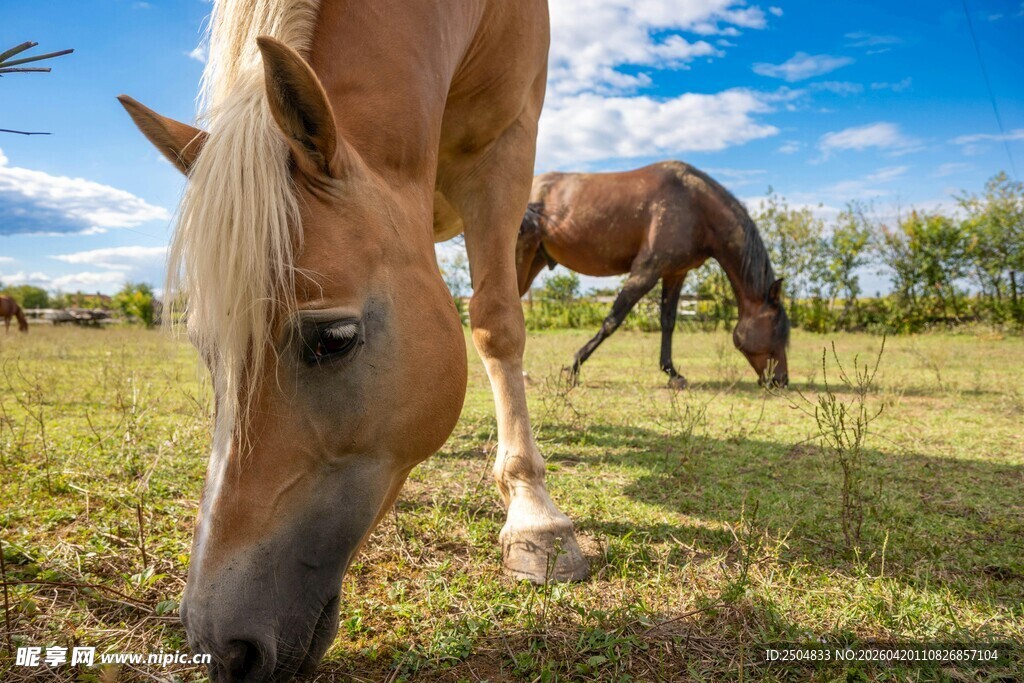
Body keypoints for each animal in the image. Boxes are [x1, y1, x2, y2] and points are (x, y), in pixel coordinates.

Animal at [119, 1, 583, 680]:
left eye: (334, 339)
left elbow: (497, 321)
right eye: (207, 352)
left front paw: (535, 519)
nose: (221, 647)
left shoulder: (505, 150)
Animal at [515, 161, 790, 388]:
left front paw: (673, 373)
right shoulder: (646, 271)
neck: (695, 205)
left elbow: (668, 321)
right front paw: (573, 368)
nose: (782, 380)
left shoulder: (675, 274)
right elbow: (612, 320)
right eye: (777, 331)